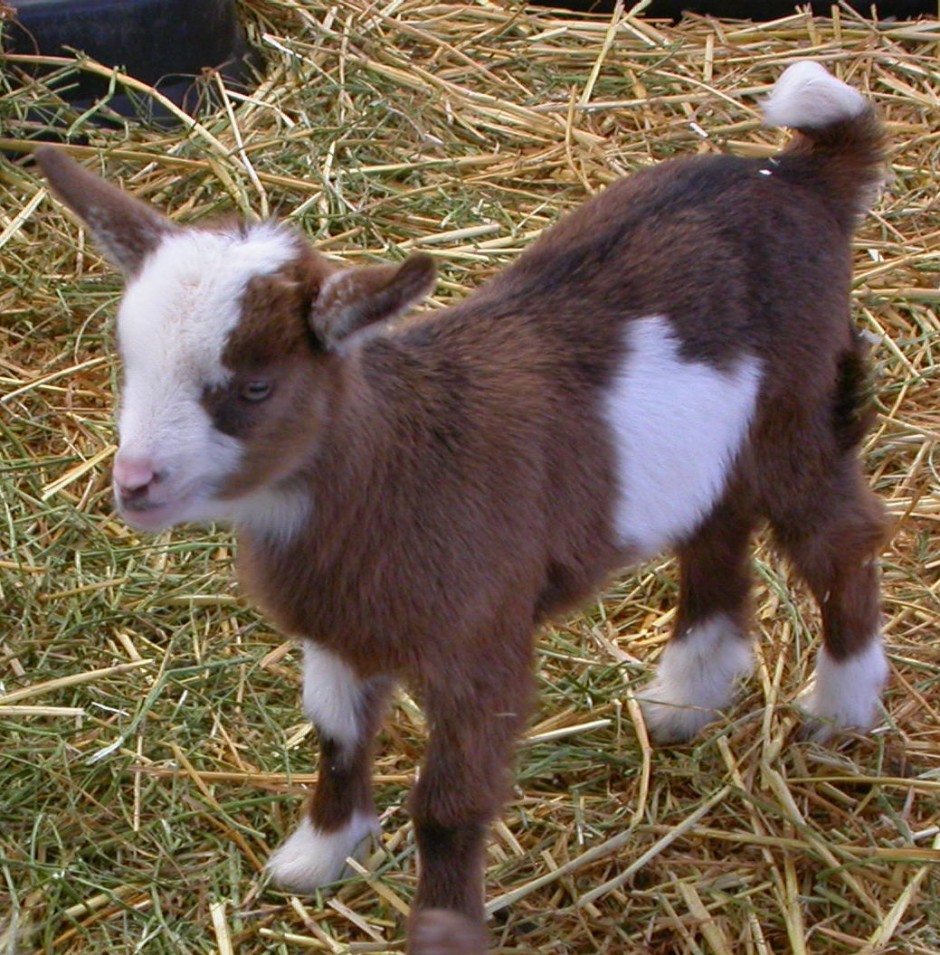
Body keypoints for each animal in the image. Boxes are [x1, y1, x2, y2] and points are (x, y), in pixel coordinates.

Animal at [37, 61, 888, 955]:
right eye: (129, 359)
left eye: (255, 387)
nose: (135, 482)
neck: (396, 463)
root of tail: (799, 173)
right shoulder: (341, 630)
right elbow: (336, 737)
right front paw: (317, 855)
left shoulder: (481, 646)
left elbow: (448, 805)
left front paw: (442, 927)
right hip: (713, 445)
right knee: (717, 531)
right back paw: (685, 697)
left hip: (798, 409)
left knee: (841, 539)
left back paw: (842, 706)